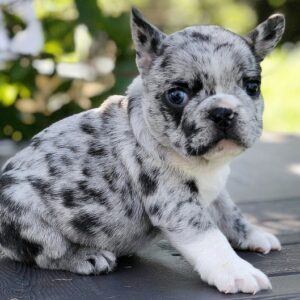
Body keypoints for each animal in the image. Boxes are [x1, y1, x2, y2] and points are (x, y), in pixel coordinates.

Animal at [0, 7, 284, 296]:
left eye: (252, 87)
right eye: (177, 96)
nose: (223, 111)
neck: (203, 163)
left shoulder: (215, 192)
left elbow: (229, 212)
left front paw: (252, 234)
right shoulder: (175, 203)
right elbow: (210, 237)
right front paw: (237, 271)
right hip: (22, 207)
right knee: (46, 253)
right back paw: (85, 256)